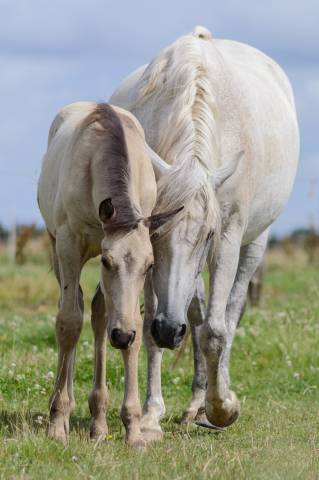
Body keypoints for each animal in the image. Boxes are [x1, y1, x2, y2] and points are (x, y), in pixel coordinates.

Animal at [37, 101, 180, 446]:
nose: (122, 336)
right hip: (57, 249)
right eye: (106, 261)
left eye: (150, 266)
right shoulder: (69, 244)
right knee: (72, 310)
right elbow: (68, 323)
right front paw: (57, 421)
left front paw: (133, 429)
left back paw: (99, 423)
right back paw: (65, 408)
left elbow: (133, 325)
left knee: (100, 314)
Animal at [110, 27, 300, 438]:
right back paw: (195, 401)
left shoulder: (228, 238)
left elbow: (216, 330)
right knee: (194, 314)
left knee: (227, 315)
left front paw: (223, 408)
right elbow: (152, 326)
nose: (170, 331)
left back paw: (211, 400)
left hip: (254, 244)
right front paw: (151, 414)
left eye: (209, 236)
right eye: (154, 233)